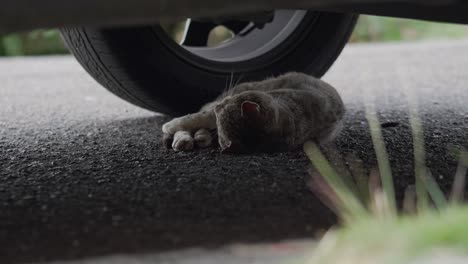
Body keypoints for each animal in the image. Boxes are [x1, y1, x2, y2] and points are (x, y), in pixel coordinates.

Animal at [161, 72, 344, 154]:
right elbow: (196, 117)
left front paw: (170, 126)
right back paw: (185, 138)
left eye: (223, 108)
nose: (219, 105)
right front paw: (171, 126)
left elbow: (200, 118)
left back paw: (198, 137)